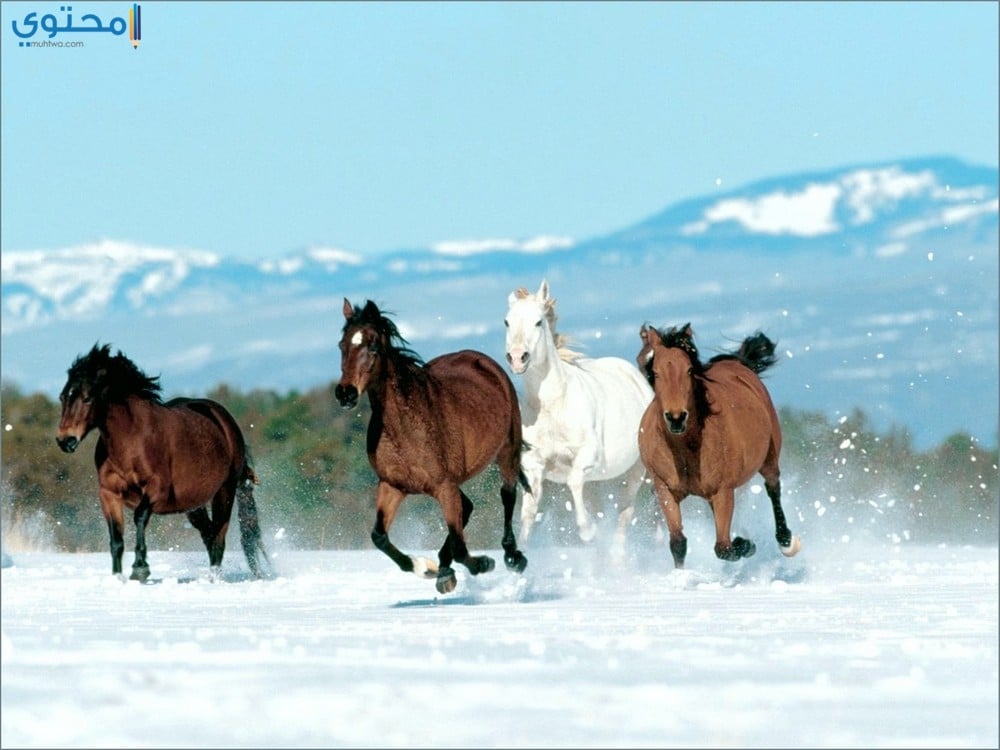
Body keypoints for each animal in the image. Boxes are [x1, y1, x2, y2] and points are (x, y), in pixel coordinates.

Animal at [55, 344, 272, 584]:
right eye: (63, 397)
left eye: (87, 398)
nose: (65, 440)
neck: (131, 439)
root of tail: (225, 421)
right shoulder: (108, 493)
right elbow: (116, 539)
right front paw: (118, 578)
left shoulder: (156, 489)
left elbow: (140, 516)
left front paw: (140, 568)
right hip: (193, 504)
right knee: (208, 535)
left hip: (224, 492)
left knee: (218, 537)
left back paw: (215, 579)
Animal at [334, 296, 528, 596]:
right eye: (342, 345)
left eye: (373, 345)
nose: (345, 394)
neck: (405, 428)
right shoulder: (393, 486)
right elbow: (379, 537)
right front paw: (426, 568)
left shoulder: (443, 485)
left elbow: (460, 546)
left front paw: (483, 563)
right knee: (467, 508)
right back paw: (444, 570)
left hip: (508, 451)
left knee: (507, 495)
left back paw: (512, 557)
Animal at [500, 280, 656, 556]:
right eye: (507, 322)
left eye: (538, 322)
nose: (517, 358)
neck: (553, 406)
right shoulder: (534, 466)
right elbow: (529, 512)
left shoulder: (587, 457)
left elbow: (573, 482)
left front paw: (587, 532)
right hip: (596, 481)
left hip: (635, 471)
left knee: (625, 512)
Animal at [636, 324, 800, 568]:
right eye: (655, 372)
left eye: (689, 370)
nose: (676, 418)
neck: (685, 449)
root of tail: (737, 363)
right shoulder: (665, 490)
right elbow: (678, 543)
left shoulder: (723, 491)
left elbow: (723, 547)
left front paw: (745, 544)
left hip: (769, 457)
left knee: (773, 488)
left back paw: (786, 542)